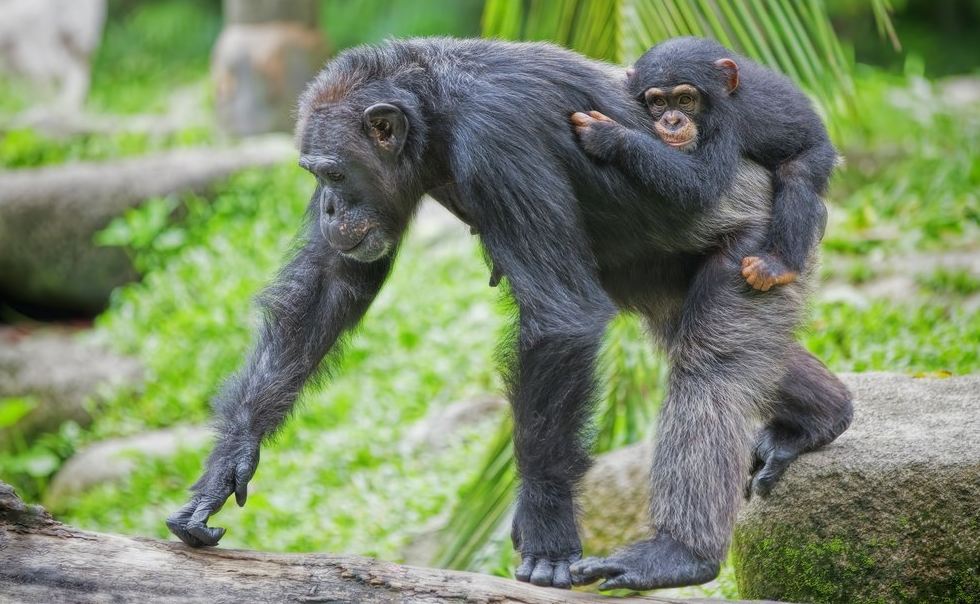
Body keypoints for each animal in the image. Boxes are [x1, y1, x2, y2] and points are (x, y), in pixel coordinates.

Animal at [166, 37, 853, 592]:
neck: (437, 115)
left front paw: (547, 529)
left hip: (757, 245)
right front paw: (224, 467)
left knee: (712, 367)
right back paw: (821, 419)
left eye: (334, 173)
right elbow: (328, 288)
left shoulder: (497, 141)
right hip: (664, 274)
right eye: (316, 176)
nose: (330, 208)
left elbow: (560, 316)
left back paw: (679, 553)